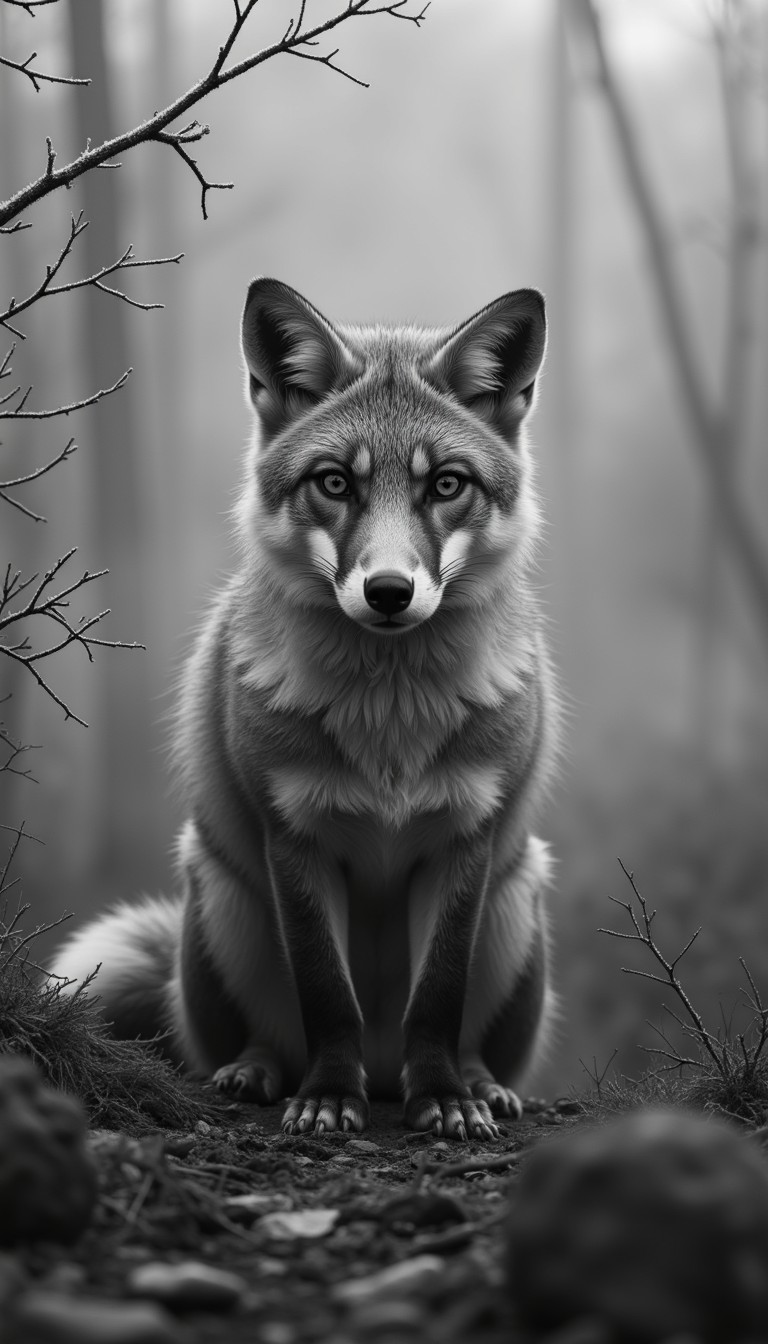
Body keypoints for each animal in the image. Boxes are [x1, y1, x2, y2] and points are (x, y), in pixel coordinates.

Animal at [53, 278, 560, 1141]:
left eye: (445, 485)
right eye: (334, 483)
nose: (387, 592)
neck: (389, 726)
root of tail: (384, 1073)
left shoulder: (467, 836)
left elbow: (439, 997)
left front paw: (444, 1100)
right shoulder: (292, 837)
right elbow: (327, 995)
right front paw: (327, 1097)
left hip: (517, 895)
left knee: (465, 1039)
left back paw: (476, 1083)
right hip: (222, 894)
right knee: (265, 1035)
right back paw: (258, 1073)